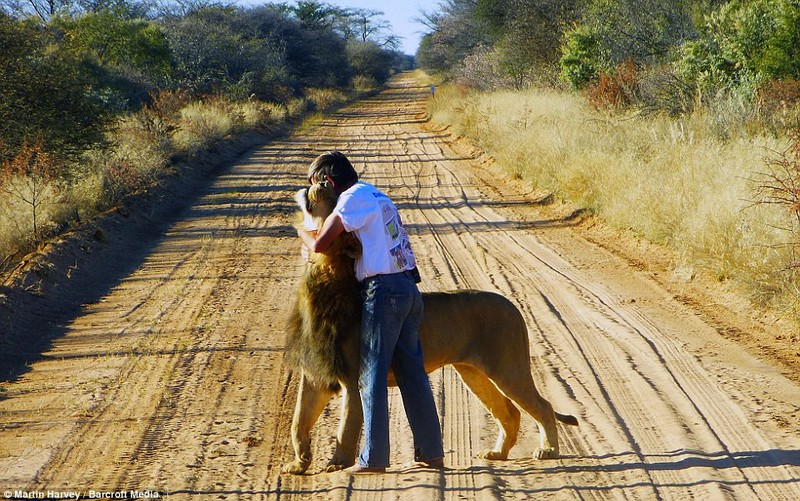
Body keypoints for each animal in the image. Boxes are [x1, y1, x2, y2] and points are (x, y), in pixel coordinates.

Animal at [284, 184, 580, 472]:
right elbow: (298, 420)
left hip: (508, 369)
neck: (324, 275)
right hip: (473, 373)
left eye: (335, 202)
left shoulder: (352, 377)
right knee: (510, 411)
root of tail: (513, 306)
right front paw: (299, 463)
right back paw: (498, 453)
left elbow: (346, 426)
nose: (320, 182)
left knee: (543, 406)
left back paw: (548, 450)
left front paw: (338, 463)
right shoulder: (314, 376)